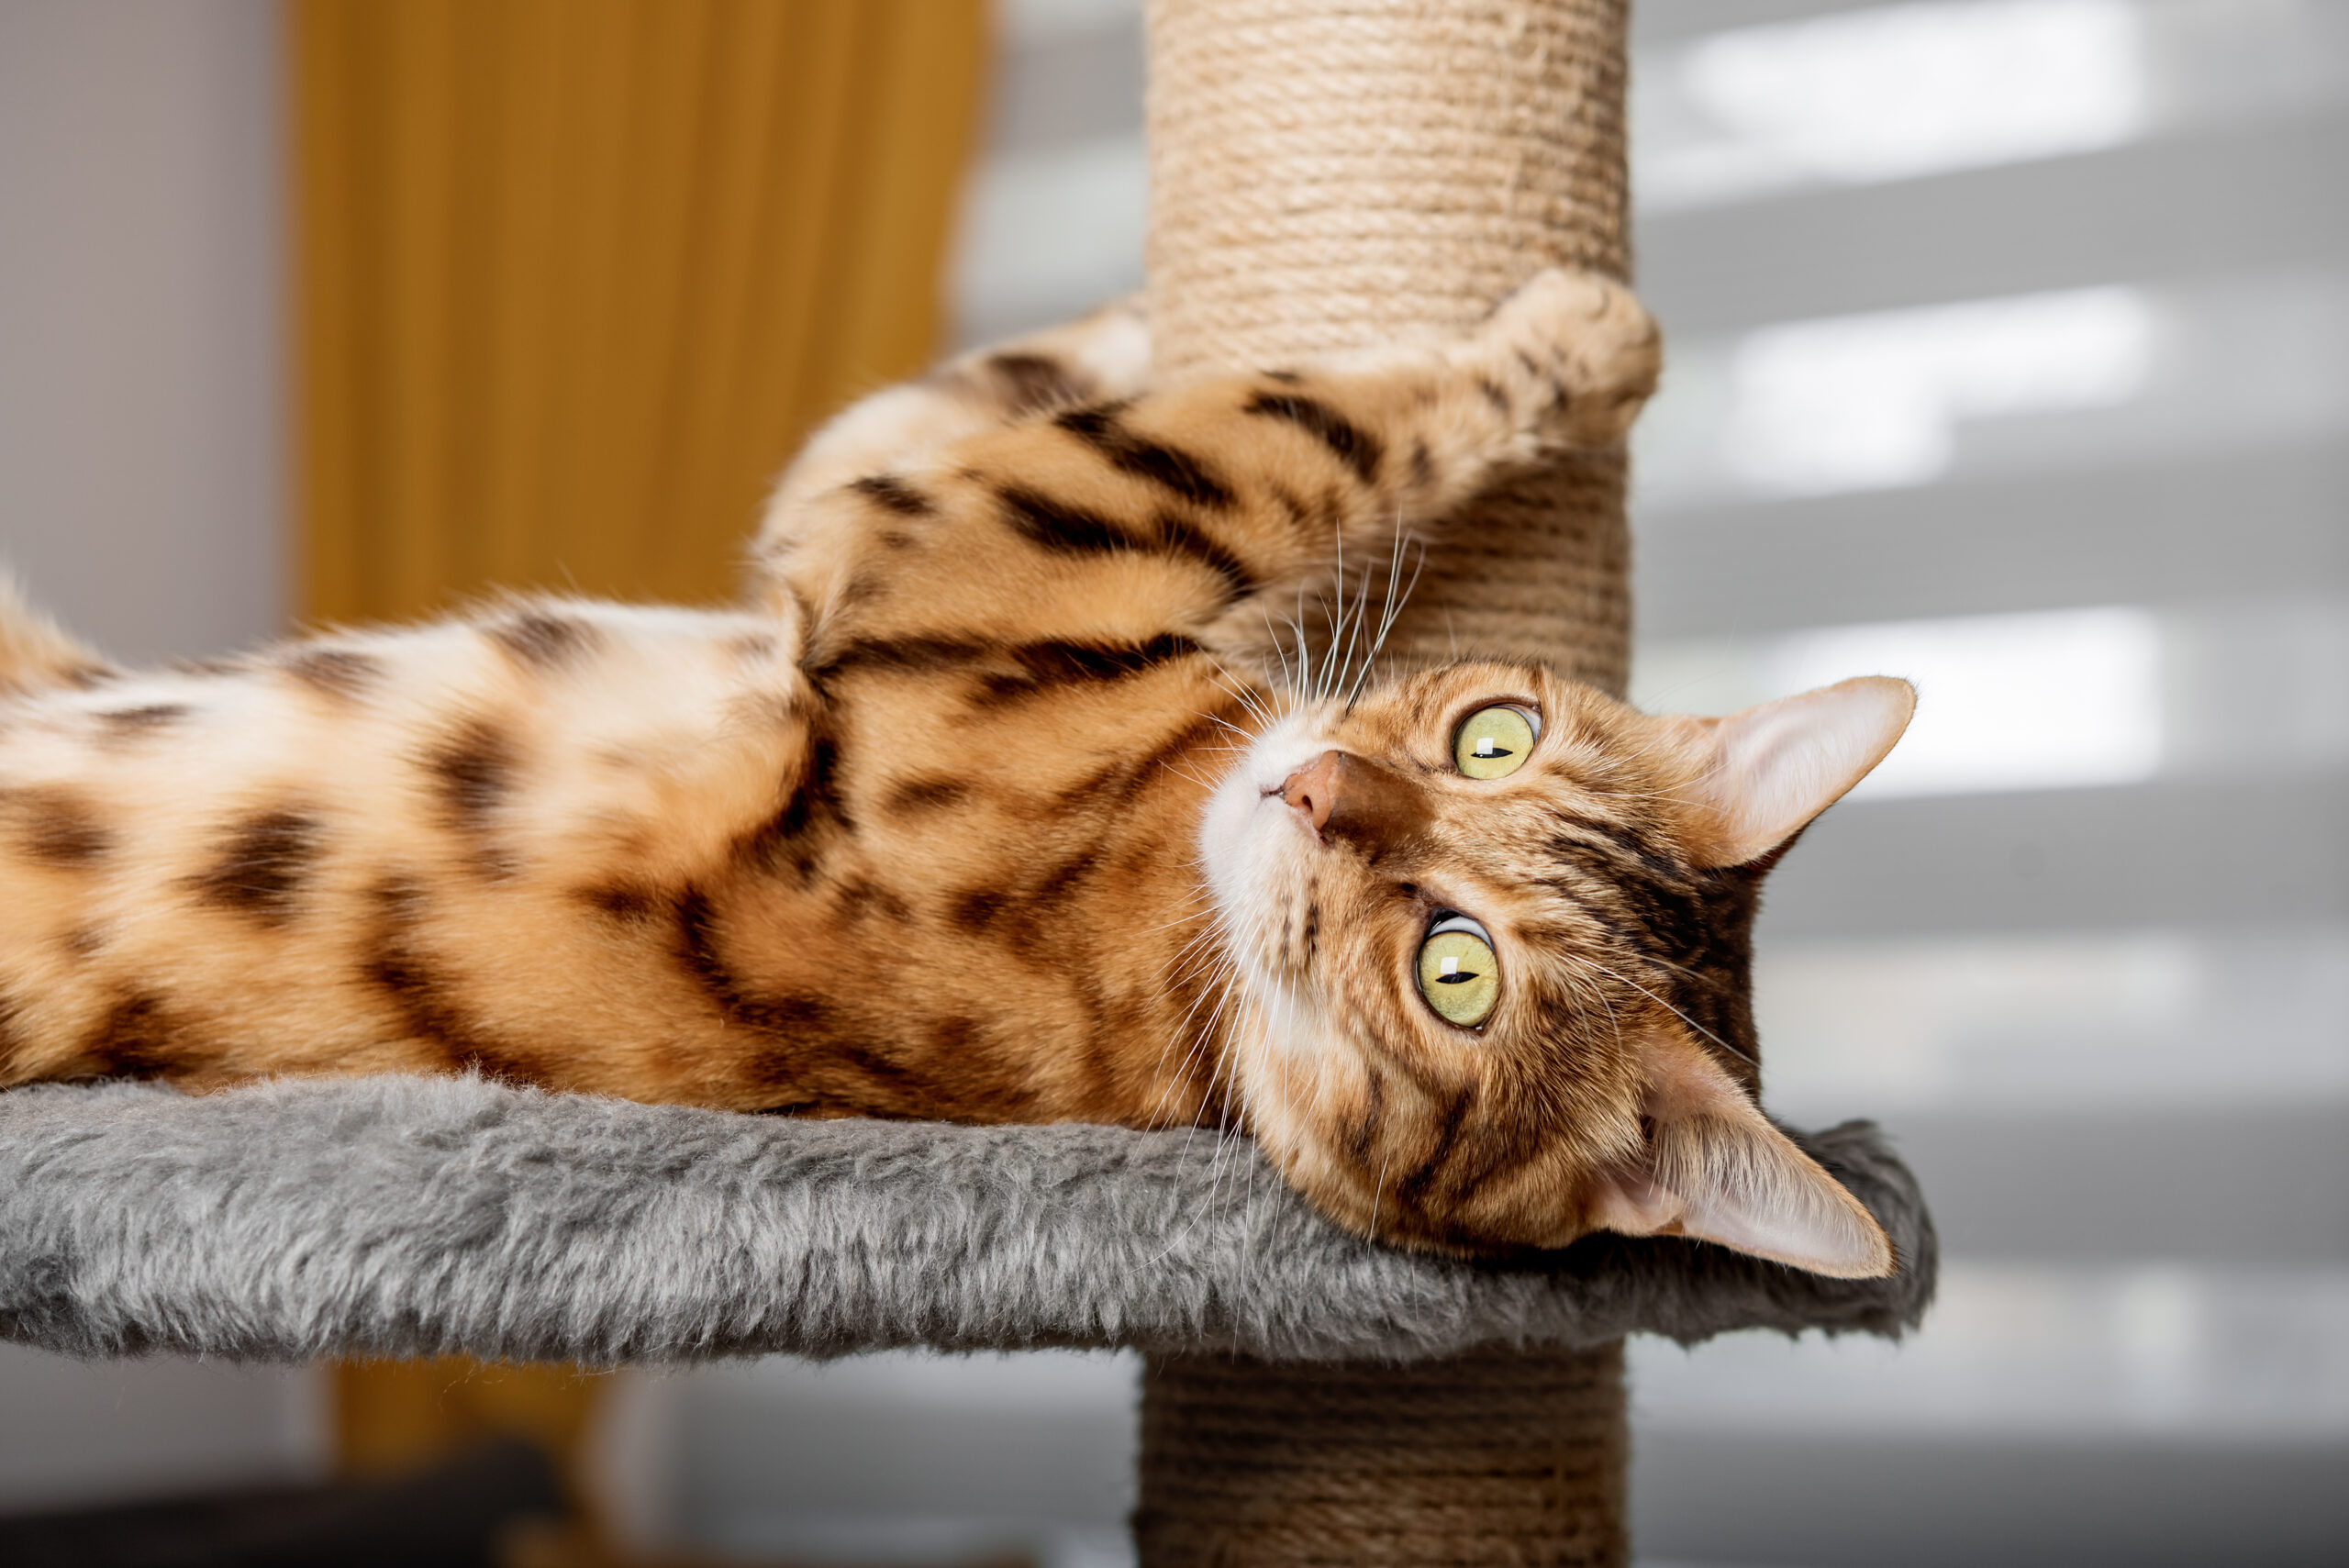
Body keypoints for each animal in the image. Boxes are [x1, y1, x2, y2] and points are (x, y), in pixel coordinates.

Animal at [0, 270, 1907, 1276]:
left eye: (1460, 971)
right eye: (1485, 732)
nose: (1317, 792)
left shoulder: (950, 548)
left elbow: (1301, 424)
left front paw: (1581, 338)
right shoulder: (852, 528)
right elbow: (1005, 383)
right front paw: (1138, 309)